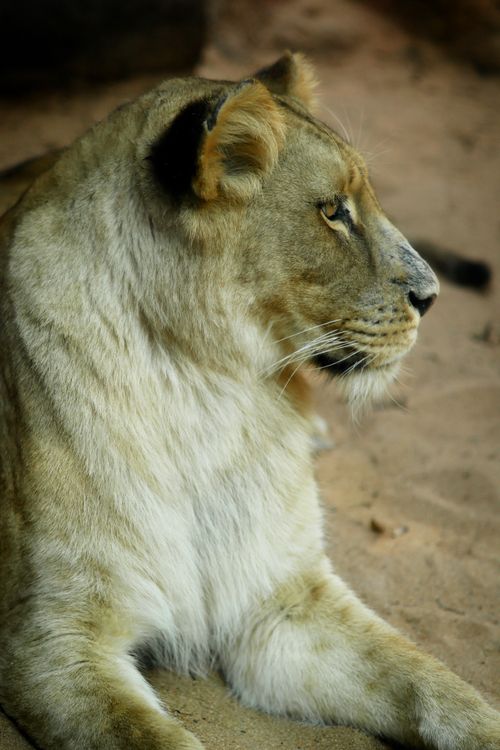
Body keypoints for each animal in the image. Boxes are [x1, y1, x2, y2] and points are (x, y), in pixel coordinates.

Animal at [0, 52, 498, 750]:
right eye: (333, 211)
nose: (431, 297)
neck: (207, 388)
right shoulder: (50, 639)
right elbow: (154, 738)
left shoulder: (283, 602)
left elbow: (432, 683)